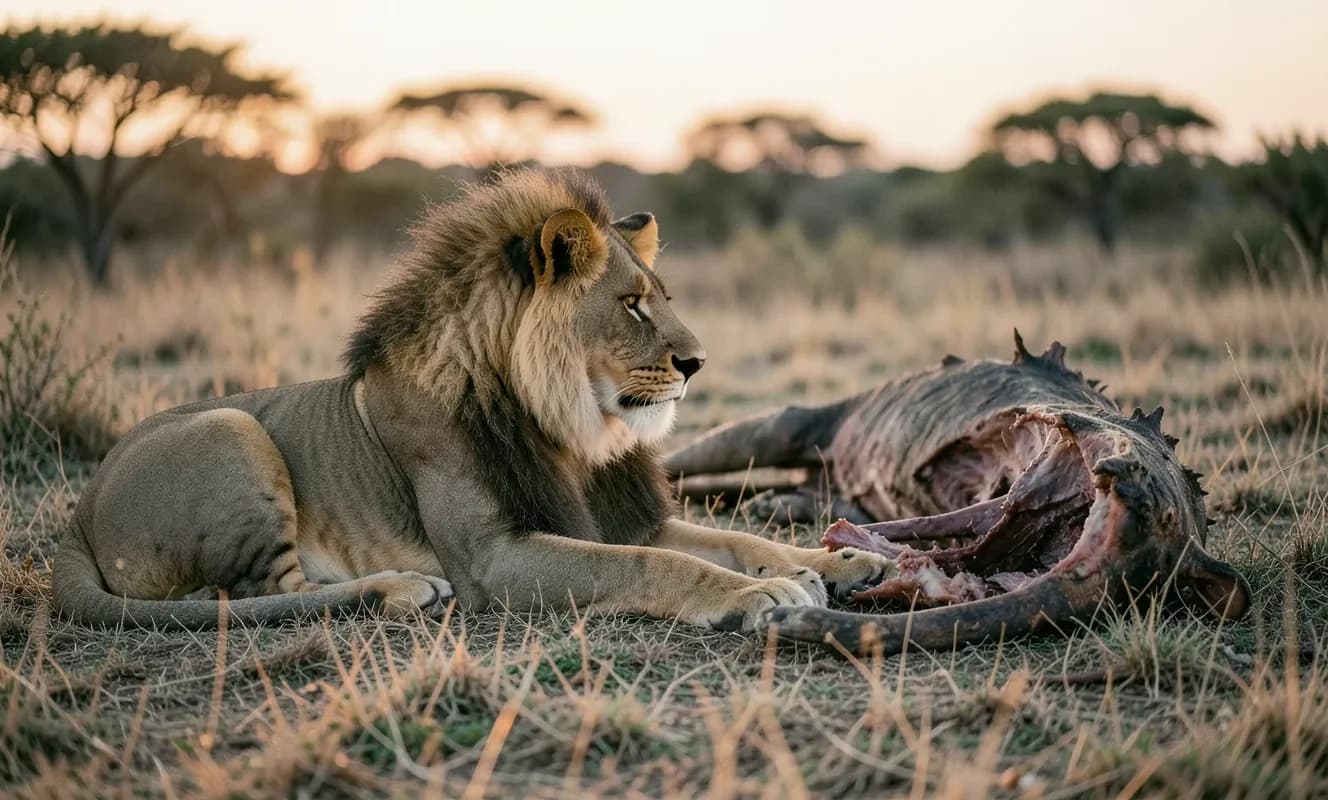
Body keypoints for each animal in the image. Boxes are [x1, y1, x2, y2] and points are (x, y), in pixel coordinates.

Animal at [53, 169, 892, 632]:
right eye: (631, 305)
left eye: (664, 298)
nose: (696, 363)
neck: (573, 431)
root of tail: (80, 514)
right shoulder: (494, 558)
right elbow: (652, 567)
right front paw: (762, 592)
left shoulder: (618, 513)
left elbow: (732, 539)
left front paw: (840, 562)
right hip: (229, 429)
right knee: (268, 593)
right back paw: (403, 589)